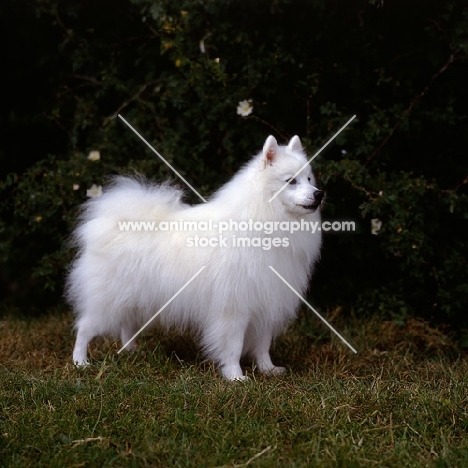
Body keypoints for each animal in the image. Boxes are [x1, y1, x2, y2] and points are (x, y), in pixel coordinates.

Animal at [66, 135, 322, 380]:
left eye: (309, 179)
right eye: (291, 181)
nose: (319, 194)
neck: (265, 220)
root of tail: (110, 222)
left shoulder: (267, 301)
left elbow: (263, 344)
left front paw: (268, 369)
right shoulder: (234, 307)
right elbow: (234, 346)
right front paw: (235, 376)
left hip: (135, 297)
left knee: (127, 325)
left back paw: (131, 351)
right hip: (108, 300)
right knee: (84, 328)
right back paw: (80, 362)